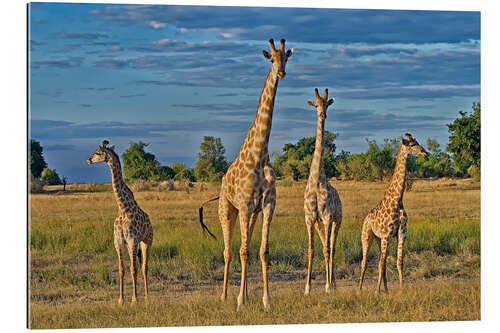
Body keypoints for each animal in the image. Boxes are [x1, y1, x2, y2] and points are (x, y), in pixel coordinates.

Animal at [86, 140, 152, 304]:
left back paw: (147, 297)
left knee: (144, 267)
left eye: (98, 152)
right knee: (138, 266)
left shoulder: (133, 240)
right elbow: (122, 269)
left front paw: (134, 299)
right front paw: (121, 299)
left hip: (147, 241)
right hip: (133, 244)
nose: (88, 160)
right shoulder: (119, 241)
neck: (122, 208)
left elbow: (134, 269)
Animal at [199, 39, 292, 312]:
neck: (259, 155)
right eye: (271, 59)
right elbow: (242, 252)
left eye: (286, 58)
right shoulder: (245, 204)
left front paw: (265, 300)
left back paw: (247, 294)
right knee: (230, 251)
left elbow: (262, 251)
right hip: (227, 209)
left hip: (250, 213)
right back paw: (225, 296)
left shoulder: (267, 204)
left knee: (246, 247)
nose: (281, 72)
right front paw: (240, 301)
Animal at [358, 134, 428, 292]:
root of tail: (366, 218)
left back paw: (386, 290)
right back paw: (359, 290)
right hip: (367, 235)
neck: (397, 200)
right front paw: (377, 291)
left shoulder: (401, 233)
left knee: (381, 261)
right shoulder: (387, 235)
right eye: (412, 144)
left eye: (418, 142)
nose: (425, 153)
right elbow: (381, 264)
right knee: (365, 262)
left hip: (379, 239)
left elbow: (399, 261)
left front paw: (400, 289)